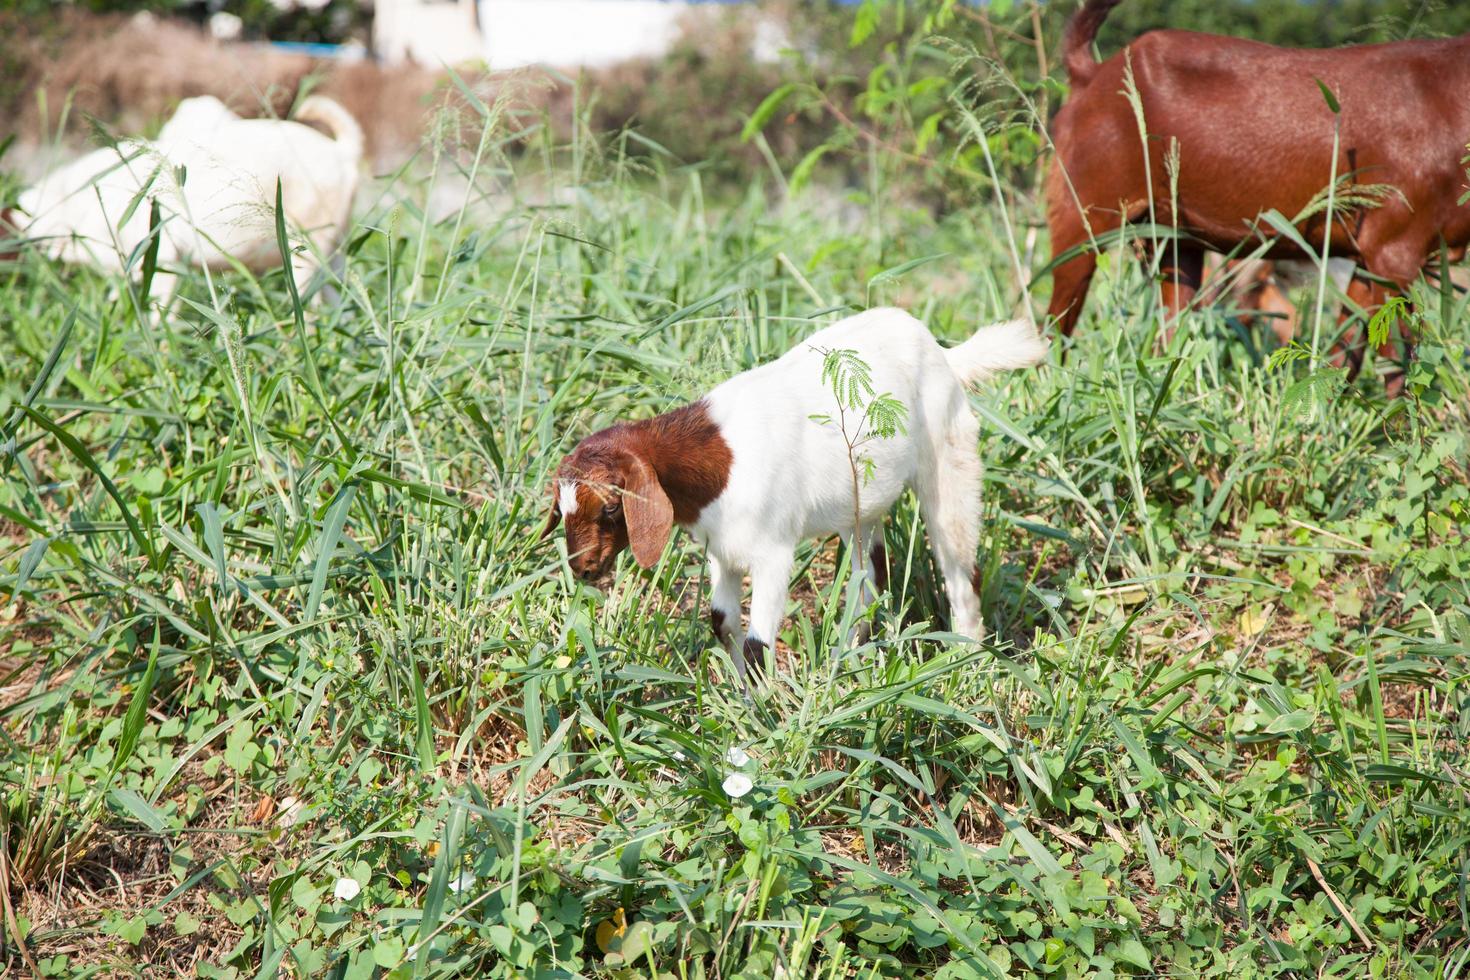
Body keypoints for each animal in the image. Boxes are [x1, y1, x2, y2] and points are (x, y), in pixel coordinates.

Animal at [1046, 0, 1470, 390]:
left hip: (1172, 239)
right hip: (1082, 215)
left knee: (1173, 328)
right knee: (1055, 325)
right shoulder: (1394, 248)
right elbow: (1398, 364)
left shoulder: (1370, 255)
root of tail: (1093, 74)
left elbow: (1345, 354)